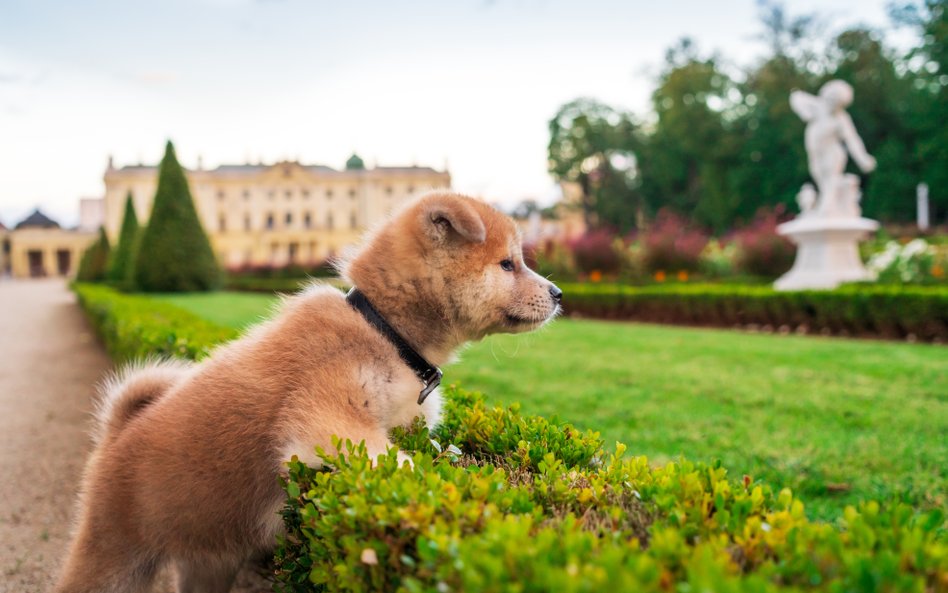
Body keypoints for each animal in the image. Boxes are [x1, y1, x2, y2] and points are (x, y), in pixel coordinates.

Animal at [55, 192, 564, 588]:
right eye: (508, 264)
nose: (559, 293)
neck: (385, 331)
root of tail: (118, 433)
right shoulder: (328, 422)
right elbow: (405, 467)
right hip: (112, 558)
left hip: (209, 560)